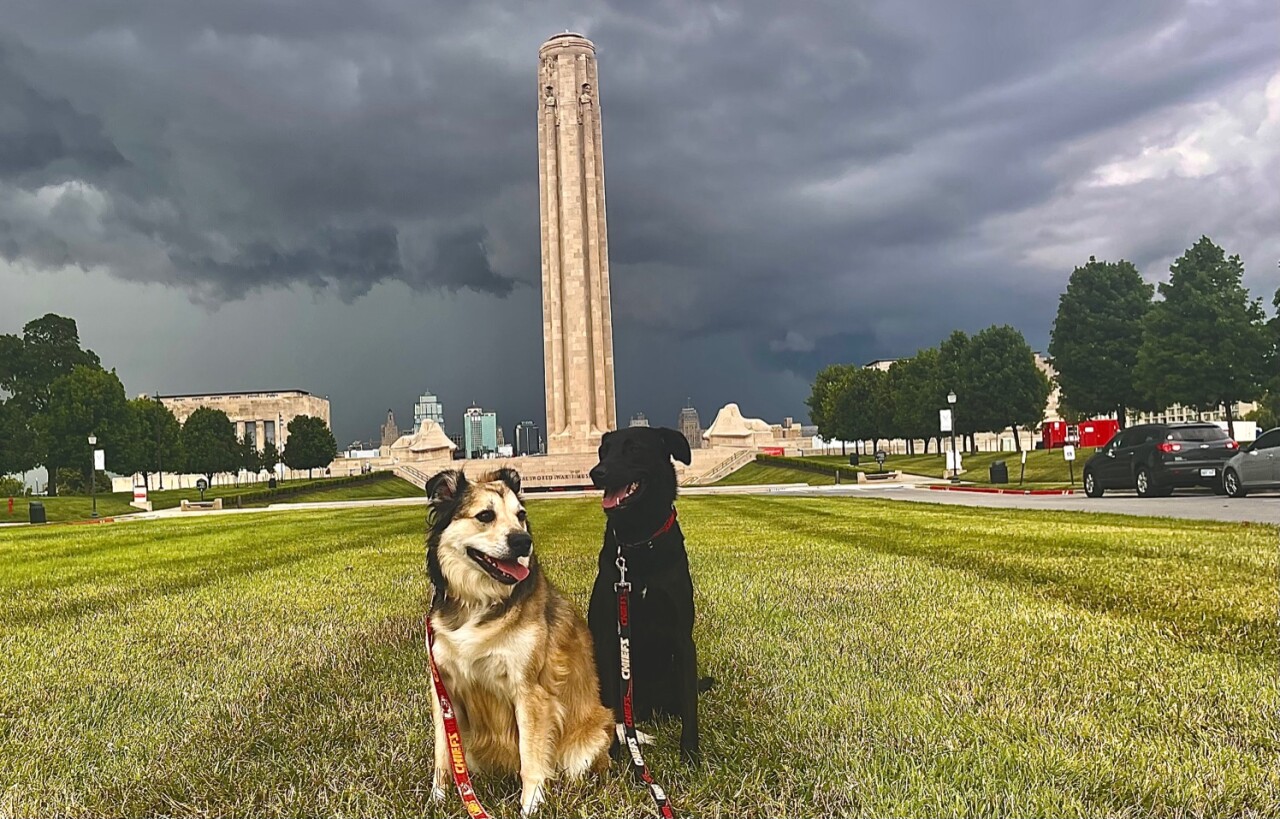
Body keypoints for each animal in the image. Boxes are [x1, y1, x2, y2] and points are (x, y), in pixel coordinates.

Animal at [427, 470, 611, 813]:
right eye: (485, 516)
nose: (523, 541)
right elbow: (443, 752)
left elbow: (531, 758)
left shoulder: (529, 692)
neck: (479, 603)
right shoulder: (444, 691)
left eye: (521, 516)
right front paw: (438, 799)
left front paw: (531, 806)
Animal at [586, 424, 711, 762]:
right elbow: (612, 702)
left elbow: (691, 704)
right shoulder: (608, 637)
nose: (596, 472)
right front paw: (614, 751)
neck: (640, 544)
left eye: (634, 448)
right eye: (604, 451)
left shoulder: (683, 638)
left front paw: (690, 751)